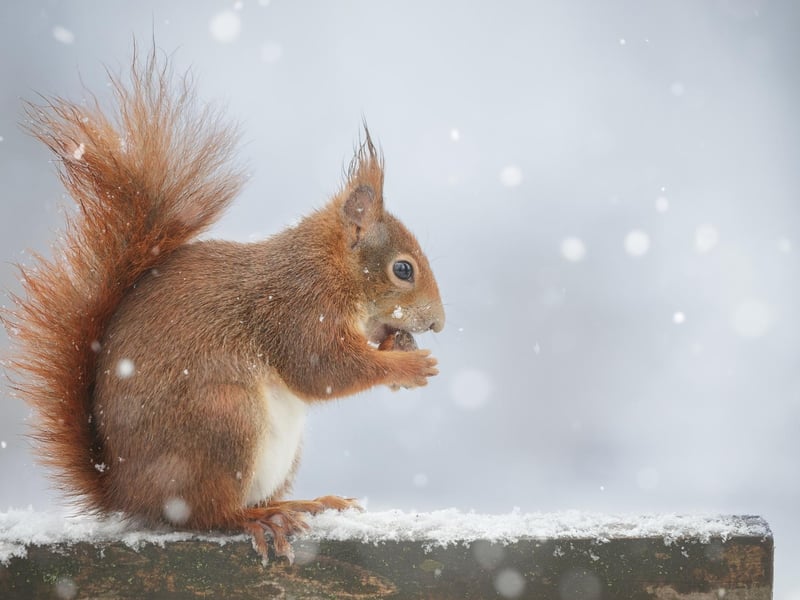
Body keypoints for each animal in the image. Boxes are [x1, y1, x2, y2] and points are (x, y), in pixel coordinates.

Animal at [2, 50, 444, 563]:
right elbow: (322, 369)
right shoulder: (297, 307)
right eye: (403, 269)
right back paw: (261, 519)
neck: (329, 266)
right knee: (209, 514)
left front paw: (396, 349)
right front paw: (409, 366)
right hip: (224, 422)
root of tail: (123, 492)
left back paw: (302, 503)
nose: (438, 323)